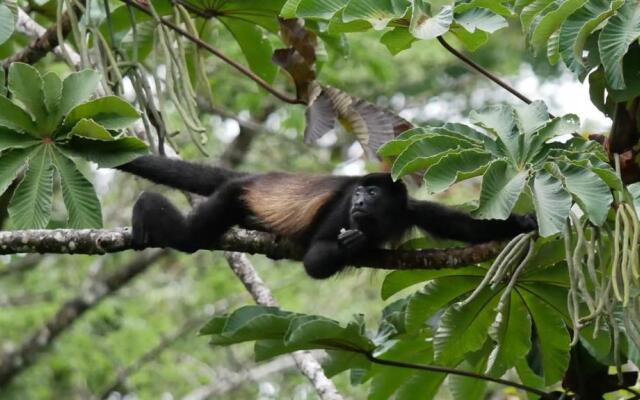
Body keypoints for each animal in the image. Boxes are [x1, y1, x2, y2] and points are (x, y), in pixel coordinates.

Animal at [117, 155, 536, 280]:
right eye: (360, 191)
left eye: (373, 193)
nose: (361, 199)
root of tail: (256, 177)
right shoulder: (341, 208)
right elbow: (316, 259)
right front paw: (356, 242)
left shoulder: (413, 209)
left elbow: (467, 227)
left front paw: (524, 222)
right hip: (234, 194)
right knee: (190, 237)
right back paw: (144, 205)